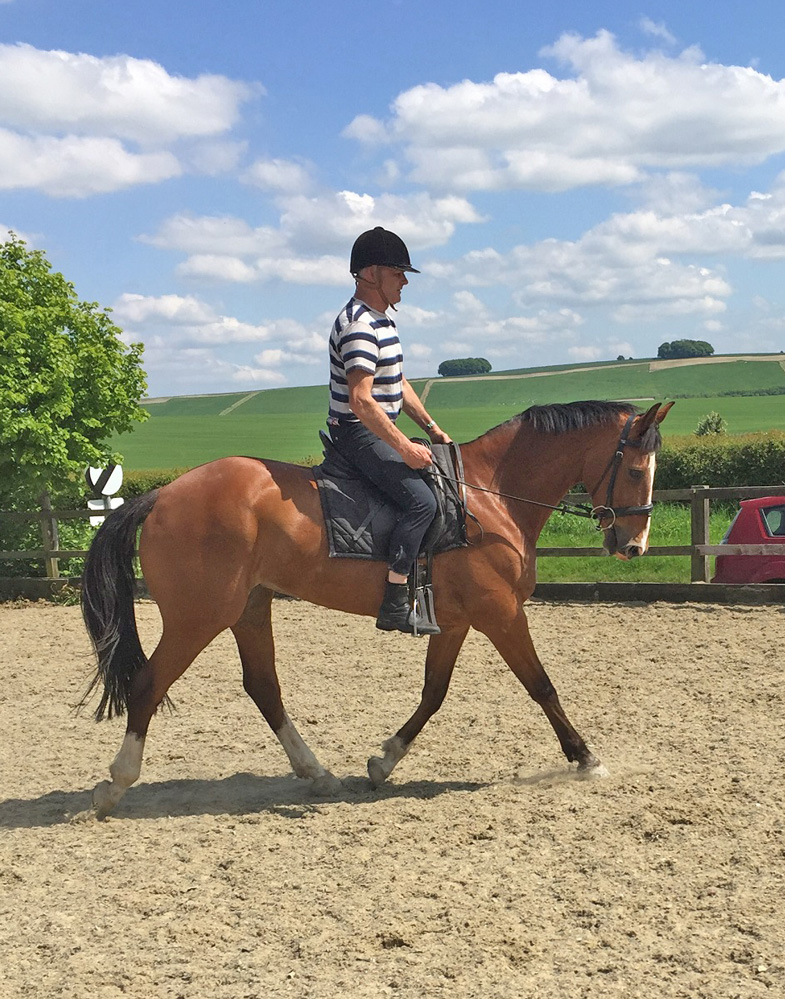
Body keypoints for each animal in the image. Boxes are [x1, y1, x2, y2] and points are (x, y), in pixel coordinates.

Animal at [81, 399, 672, 817]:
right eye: (637, 470)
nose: (634, 546)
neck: (490, 497)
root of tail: (161, 495)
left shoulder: (455, 621)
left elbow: (434, 692)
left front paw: (383, 761)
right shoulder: (501, 614)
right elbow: (542, 686)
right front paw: (586, 757)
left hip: (248, 608)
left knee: (263, 687)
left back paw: (318, 773)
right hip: (198, 616)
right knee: (148, 684)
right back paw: (115, 785)